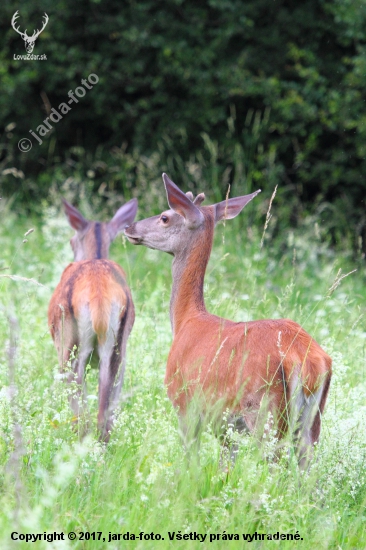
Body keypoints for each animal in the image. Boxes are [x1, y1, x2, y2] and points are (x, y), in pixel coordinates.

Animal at [49, 198, 138, 444]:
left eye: (72, 241)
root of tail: (99, 298)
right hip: (119, 348)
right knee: (106, 410)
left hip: (70, 345)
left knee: (80, 406)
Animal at [125, 175, 332, 468]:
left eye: (165, 217)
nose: (129, 227)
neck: (185, 319)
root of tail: (308, 358)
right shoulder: (226, 426)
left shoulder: (185, 405)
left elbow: (191, 461)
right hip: (312, 419)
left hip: (265, 410)